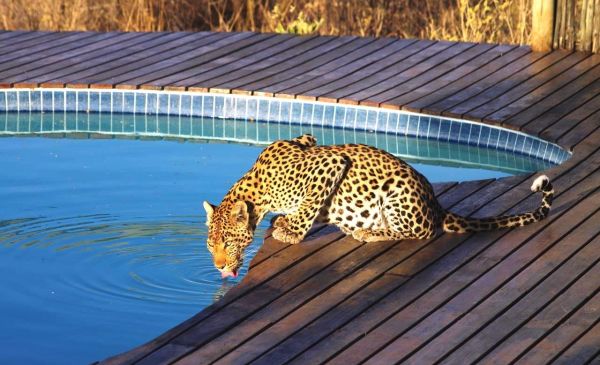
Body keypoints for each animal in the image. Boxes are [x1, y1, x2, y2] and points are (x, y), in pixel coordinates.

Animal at [203, 133, 552, 276]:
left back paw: (371, 232)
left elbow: (310, 201)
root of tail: (436, 206)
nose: (218, 266)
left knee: (421, 233)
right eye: (210, 246)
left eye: (228, 243)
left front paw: (291, 230)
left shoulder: (328, 163)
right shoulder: (308, 139)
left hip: (398, 195)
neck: (259, 192)